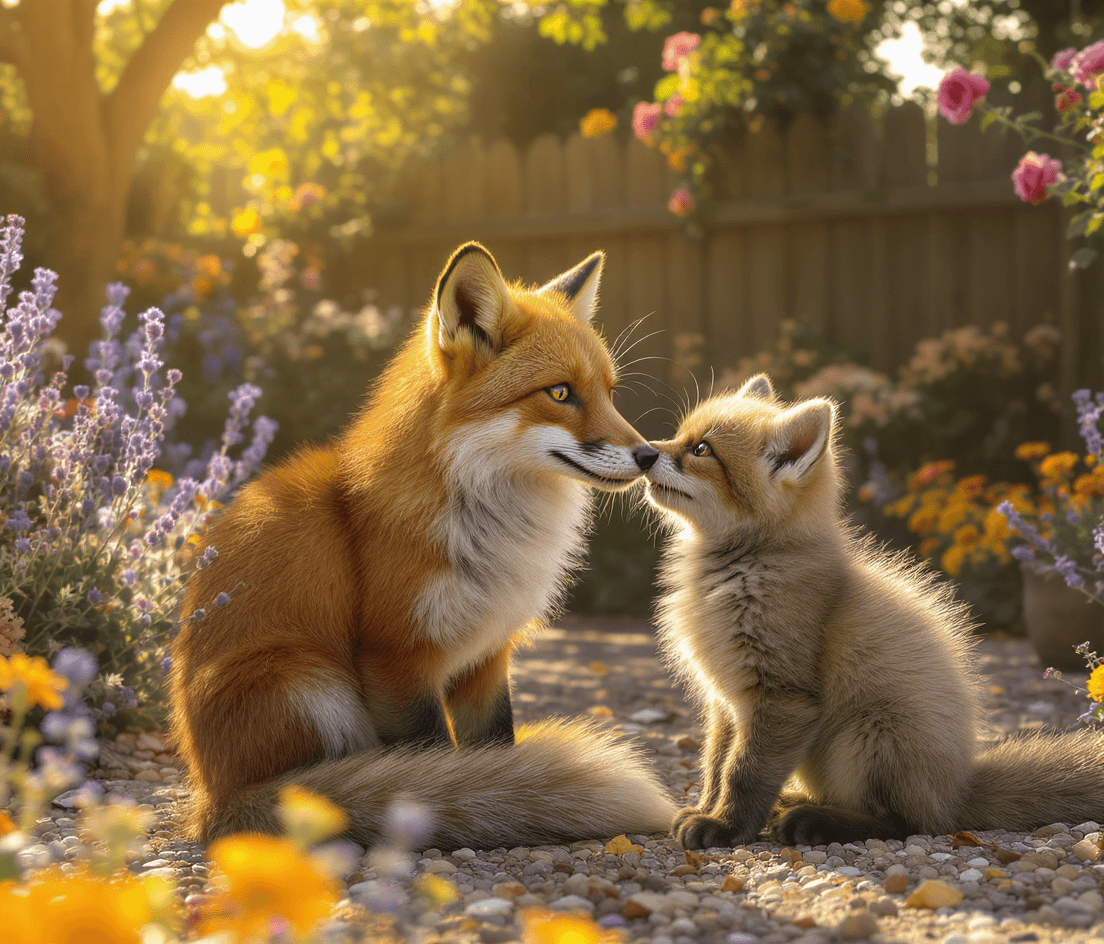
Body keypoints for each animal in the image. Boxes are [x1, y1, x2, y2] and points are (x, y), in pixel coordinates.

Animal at [169, 242, 675, 850]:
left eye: (610, 392)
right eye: (560, 393)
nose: (650, 455)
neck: (491, 529)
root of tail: (213, 804)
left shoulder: (488, 655)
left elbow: (495, 752)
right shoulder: (398, 658)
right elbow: (434, 758)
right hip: (309, 682)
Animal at [643, 373, 1104, 849]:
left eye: (702, 450)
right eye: (678, 435)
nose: (643, 452)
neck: (737, 574)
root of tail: (957, 790)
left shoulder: (781, 697)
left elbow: (743, 773)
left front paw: (726, 826)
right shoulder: (725, 700)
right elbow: (715, 765)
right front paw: (705, 809)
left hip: (868, 736)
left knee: (905, 824)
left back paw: (814, 820)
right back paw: (792, 803)